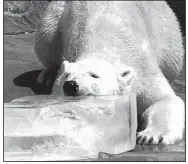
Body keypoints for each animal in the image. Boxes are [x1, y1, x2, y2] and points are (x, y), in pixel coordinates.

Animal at [34, 1, 184, 145]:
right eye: (67, 76)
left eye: (94, 75)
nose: (71, 85)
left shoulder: (143, 72)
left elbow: (162, 100)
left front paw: (150, 136)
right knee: (46, 39)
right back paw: (47, 74)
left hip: (165, 25)